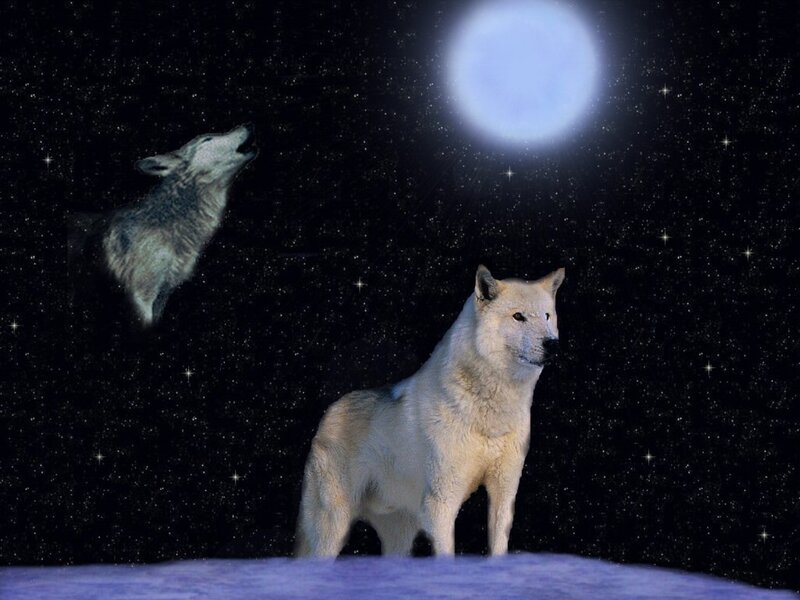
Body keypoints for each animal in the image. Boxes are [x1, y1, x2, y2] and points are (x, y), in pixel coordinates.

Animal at [295, 265, 565, 557]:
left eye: (547, 316)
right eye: (518, 316)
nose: (553, 344)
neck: (490, 414)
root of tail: (330, 411)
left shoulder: (504, 494)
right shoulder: (441, 503)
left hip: (399, 536)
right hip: (332, 527)